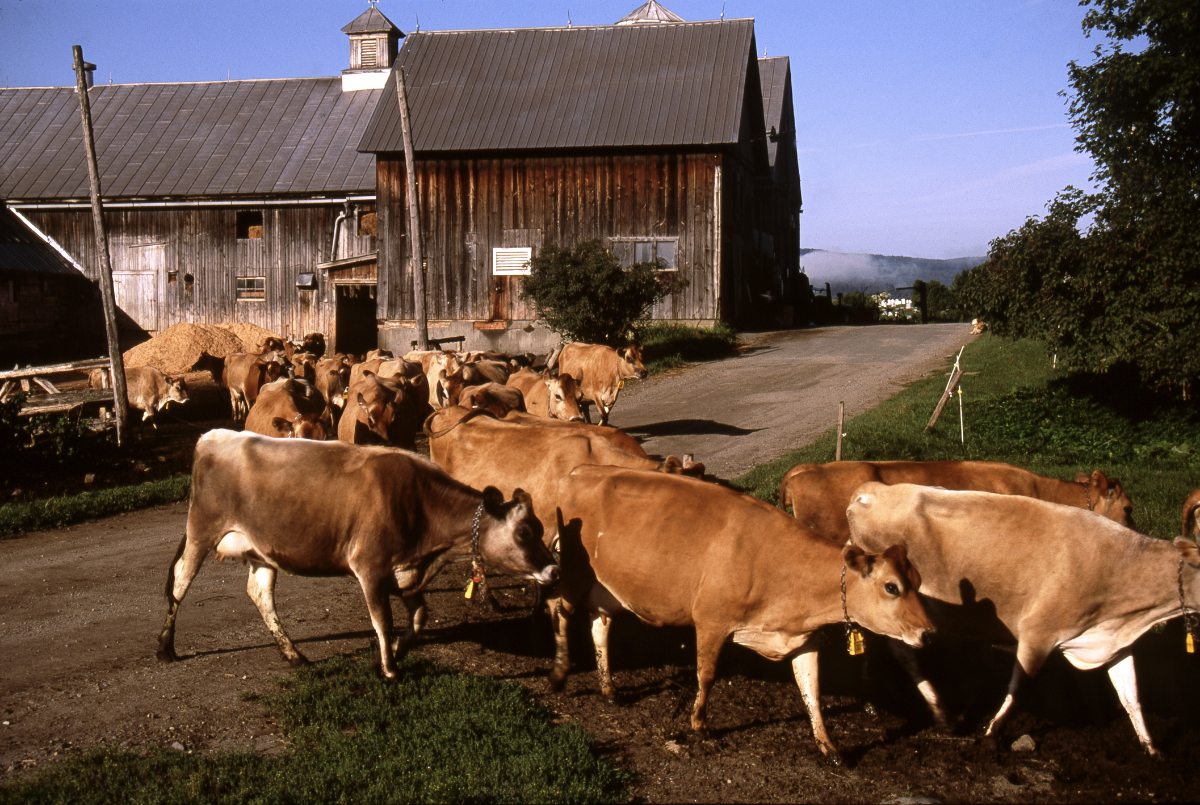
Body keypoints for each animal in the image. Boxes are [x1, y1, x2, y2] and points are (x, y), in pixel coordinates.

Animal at [153, 431, 556, 676]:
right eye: (523, 533)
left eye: (538, 529)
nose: (554, 569)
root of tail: (215, 436)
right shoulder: (371, 567)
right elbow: (382, 621)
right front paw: (389, 668)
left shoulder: (404, 573)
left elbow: (420, 616)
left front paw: (398, 652)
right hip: (202, 530)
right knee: (179, 583)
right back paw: (165, 648)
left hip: (261, 550)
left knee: (260, 594)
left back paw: (294, 655)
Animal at [549, 465, 931, 763]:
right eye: (891, 587)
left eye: (917, 580)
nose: (928, 632)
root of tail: (578, 472)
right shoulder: (711, 620)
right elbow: (706, 675)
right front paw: (699, 725)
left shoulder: (804, 637)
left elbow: (812, 690)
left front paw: (829, 747)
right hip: (573, 574)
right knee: (560, 613)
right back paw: (559, 674)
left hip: (605, 589)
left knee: (600, 626)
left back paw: (609, 689)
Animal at [844, 484, 1200, 758]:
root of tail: (870, 491)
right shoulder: (1037, 632)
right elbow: (1020, 688)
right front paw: (991, 735)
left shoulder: (1112, 639)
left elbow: (1132, 697)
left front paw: (1152, 749)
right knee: (902, 651)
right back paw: (940, 712)